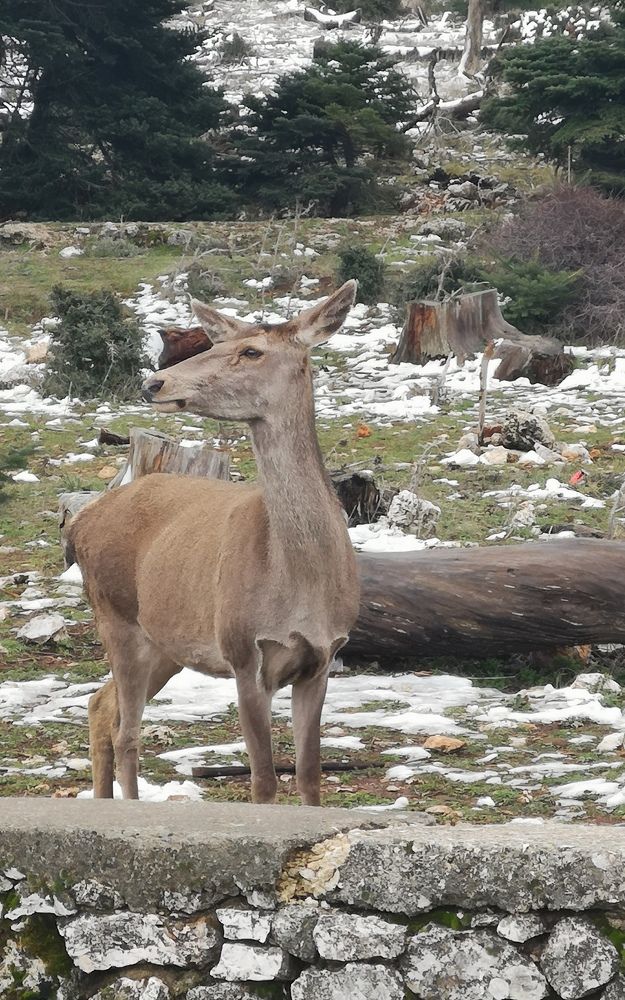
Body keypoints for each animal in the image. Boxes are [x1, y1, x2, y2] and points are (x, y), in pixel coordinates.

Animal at [68, 281, 360, 805]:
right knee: (126, 732)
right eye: (211, 344)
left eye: (251, 350)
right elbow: (263, 780)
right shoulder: (244, 651)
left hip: (164, 641)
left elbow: (309, 774)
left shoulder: (324, 656)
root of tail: (81, 520)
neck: (301, 582)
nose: (155, 384)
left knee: (102, 705)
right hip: (114, 614)